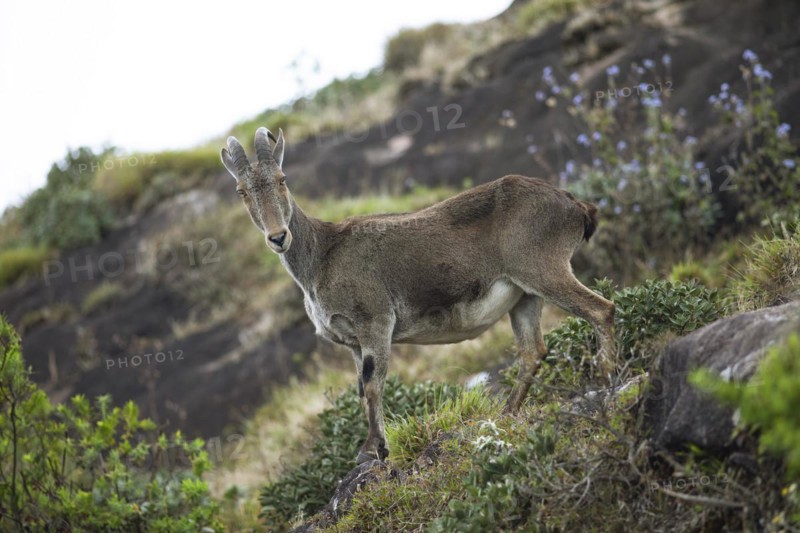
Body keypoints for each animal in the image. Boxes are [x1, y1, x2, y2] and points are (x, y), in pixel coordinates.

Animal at [220, 128, 616, 463]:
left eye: (282, 180)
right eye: (241, 191)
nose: (278, 237)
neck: (322, 255)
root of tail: (574, 206)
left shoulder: (375, 322)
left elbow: (373, 385)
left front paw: (372, 451)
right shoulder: (352, 342)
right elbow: (361, 389)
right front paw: (375, 448)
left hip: (544, 270)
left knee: (601, 310)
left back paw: (607, 377)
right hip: (524, 296)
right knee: (533, 351)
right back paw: (506, 413)